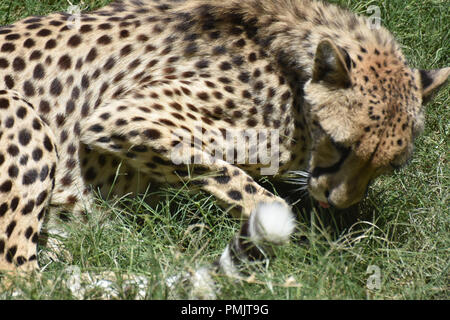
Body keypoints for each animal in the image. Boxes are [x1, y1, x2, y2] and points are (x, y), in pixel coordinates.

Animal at [0, 0, 448, 282]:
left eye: (389, 166)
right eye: (341, 146)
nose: (335, 203)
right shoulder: (122, 118)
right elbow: (243, 184)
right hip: (24, 114)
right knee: (20, 277)